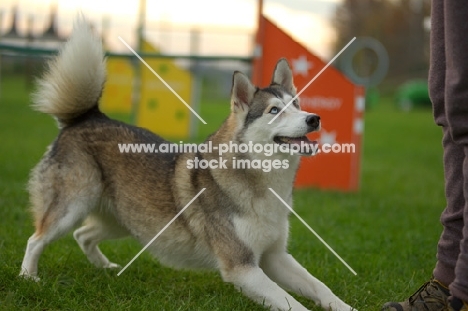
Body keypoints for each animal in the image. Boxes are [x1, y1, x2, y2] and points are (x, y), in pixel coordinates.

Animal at [19, 18, 354, 311]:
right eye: (274, 110)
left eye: (297, 104)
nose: (314, 119)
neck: (264, 182)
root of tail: (87, 117)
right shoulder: (242, 267)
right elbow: (293, 303)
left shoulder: (275, 256)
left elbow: (320, 287)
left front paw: (347, 307)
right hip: (72, 207)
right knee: (36, 239)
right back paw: (29, 278)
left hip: (124, 220)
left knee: (83, 235)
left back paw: (105, 268)